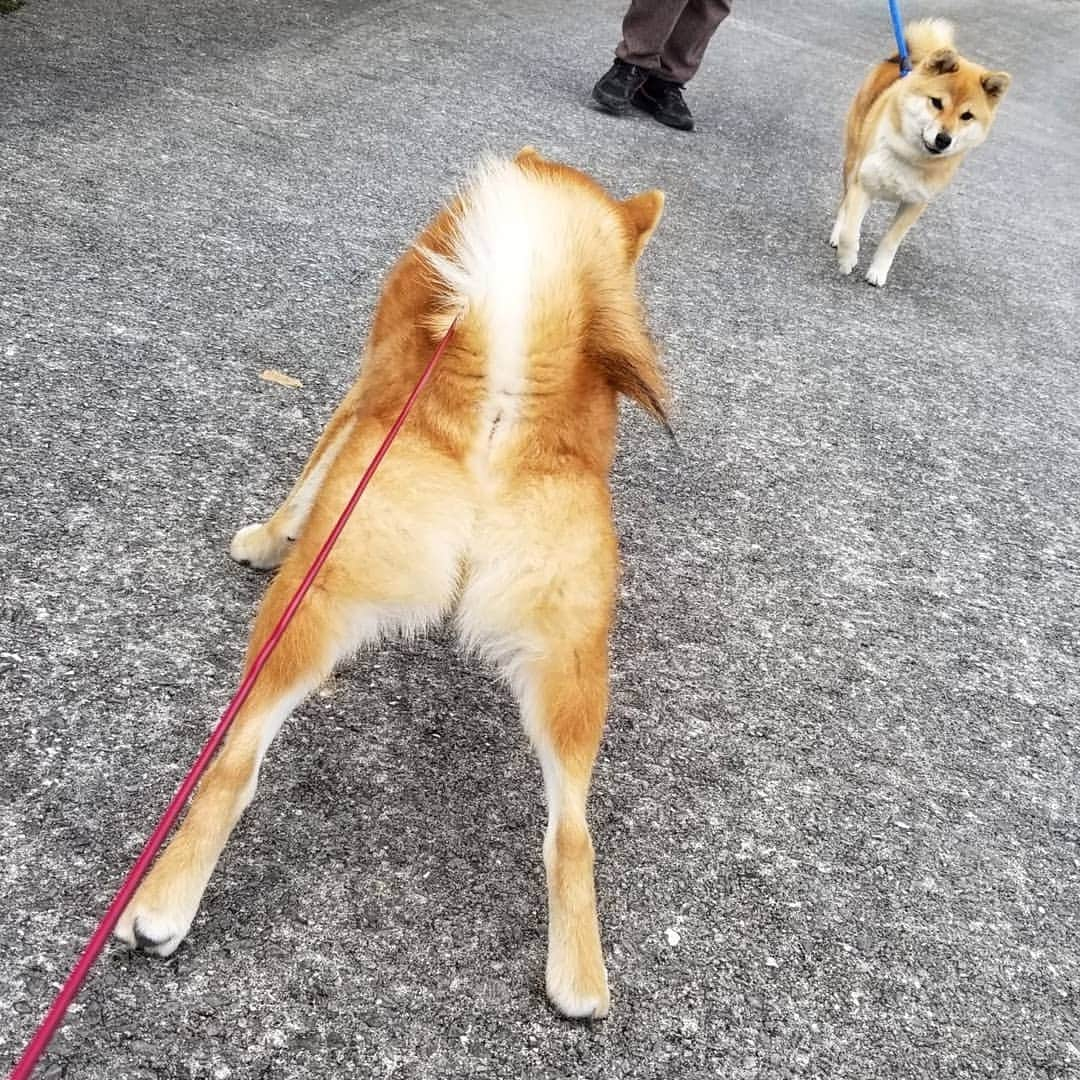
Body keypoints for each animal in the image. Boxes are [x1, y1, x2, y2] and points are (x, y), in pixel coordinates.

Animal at [111, 147, 665, 1015]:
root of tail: (500, 417)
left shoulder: (358, 400)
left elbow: (305, 479)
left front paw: (260, 538)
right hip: (571, 666)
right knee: (572, 835)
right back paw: (578, 981)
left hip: (309, 601)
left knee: (234, 766)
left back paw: (161, 906)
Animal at [829, 19, 1006, 287]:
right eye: (937, 102)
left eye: (966, 116)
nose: (944, 139)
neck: (911, 156)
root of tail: (901, 61)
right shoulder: (864, 184)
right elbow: (851, 230)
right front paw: (847, 260)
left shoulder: (915, 203)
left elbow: (891, 242)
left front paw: (878, 272)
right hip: (852, 160)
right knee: (844, 203)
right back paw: (836, 236)